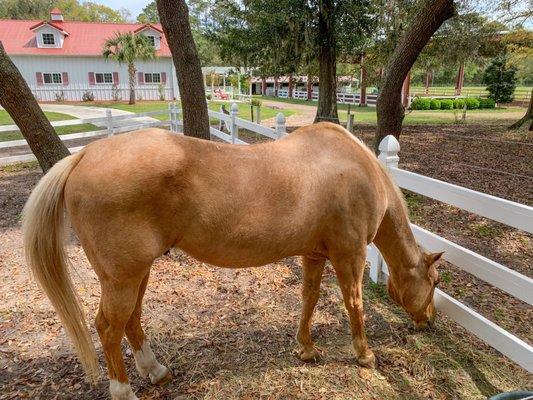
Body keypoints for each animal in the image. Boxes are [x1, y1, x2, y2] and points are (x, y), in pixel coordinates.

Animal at [22, 123, 440, 398]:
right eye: (435, 283)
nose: (429, 322)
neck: (358, 168)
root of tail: (84, 155)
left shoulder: (313, 254)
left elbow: (309, 299)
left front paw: (306, 348)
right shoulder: (348, 255)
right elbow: (354, 305)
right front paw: (365, 355)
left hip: (135, 274)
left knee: (131, 321)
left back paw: (155, 371)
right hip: (123, 277)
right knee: (108, 328)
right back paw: (124, 390)